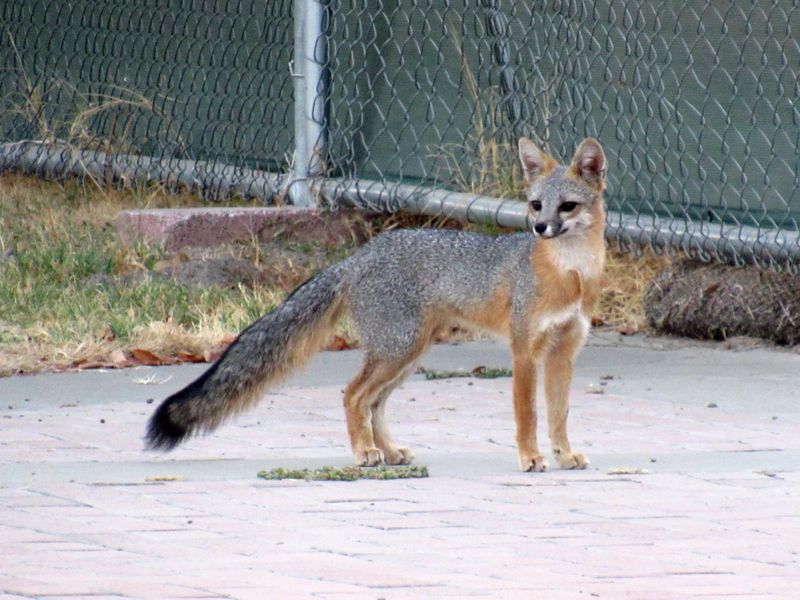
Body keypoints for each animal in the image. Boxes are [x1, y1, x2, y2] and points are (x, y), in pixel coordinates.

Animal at [146, 136, 607, 472]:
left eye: (567, 206)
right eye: (535, 204)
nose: (540, 227)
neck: (571, 276)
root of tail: (358, 256)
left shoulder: (564, 352)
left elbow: (559, 414)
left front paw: (565, 454)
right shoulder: (524, 351)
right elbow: (528, 415)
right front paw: (531, 458)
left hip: (407, 353)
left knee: (373, 402)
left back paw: (386, 451)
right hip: (398, 349)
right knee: (354, 395)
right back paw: (364, 452)